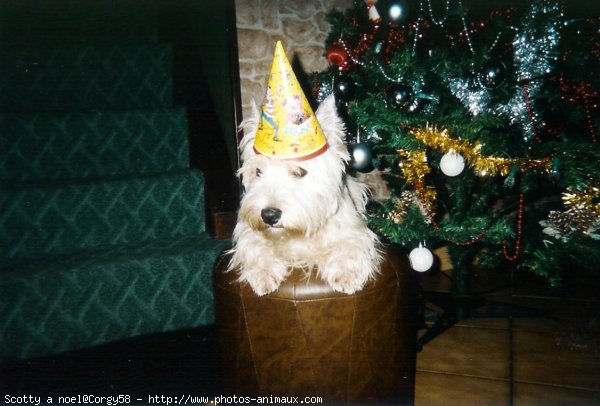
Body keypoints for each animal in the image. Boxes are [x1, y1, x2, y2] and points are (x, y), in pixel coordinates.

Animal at [227, 96, 382, 296]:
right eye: (258, 171)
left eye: (299, 172)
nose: (269, 215)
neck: (296, 233)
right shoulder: (249, 231)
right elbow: (254, 245)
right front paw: (263, 274)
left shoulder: (353, 231)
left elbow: (350, 246)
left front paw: (346, 275)